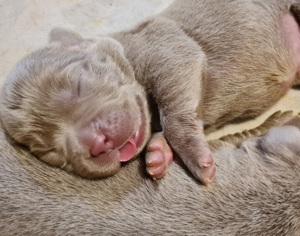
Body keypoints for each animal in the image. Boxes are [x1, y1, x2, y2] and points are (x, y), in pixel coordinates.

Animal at [0, 0, 300, 183]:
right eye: (48, 150)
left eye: (79, 85)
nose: (97, 143)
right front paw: (158, 153)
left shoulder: (168, 49)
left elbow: (174, 115)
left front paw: (196, 159)